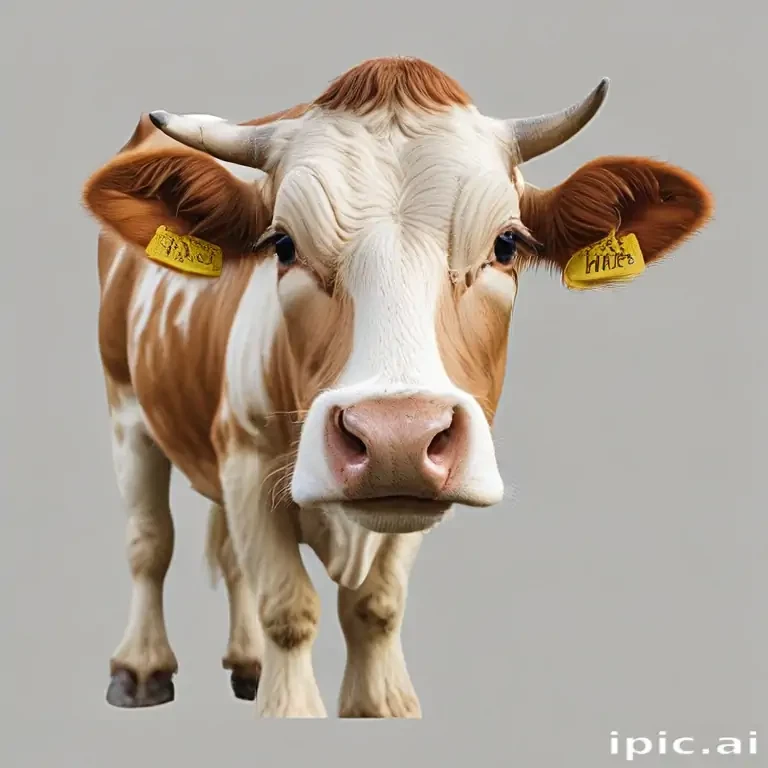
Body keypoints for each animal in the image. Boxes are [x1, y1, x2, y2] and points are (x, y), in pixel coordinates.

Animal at [81, 56, 713, 718]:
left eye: (506, 244)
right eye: (282, 245)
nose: (396, 438)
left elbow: (374, 606)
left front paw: (381, 706)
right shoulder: (246, 458)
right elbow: (287, 606)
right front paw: (289, 710)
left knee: (227, 556)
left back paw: (247, 664)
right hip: (125, 403)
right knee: (150, 541)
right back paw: (141, 667)